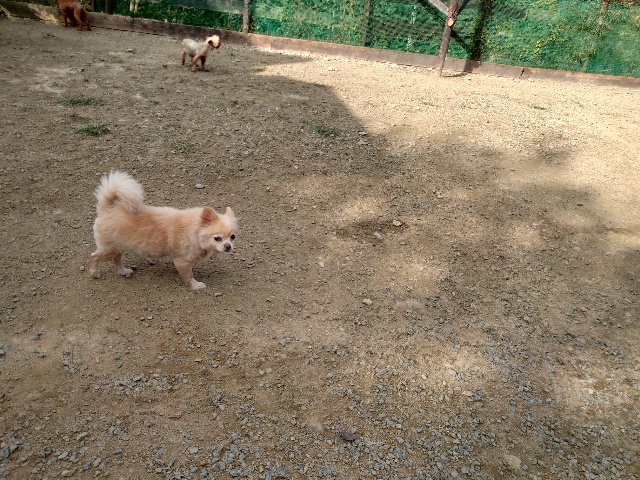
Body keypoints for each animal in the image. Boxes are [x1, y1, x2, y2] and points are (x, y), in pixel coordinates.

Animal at [90, 171, 238, 291]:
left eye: (232, 237)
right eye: (217, 238)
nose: (228, 246)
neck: (194, 232)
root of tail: (107, 208)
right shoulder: (182, 262)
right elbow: (189, 276)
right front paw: (195, 286)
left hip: (117, 246)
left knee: (117, 258)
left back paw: (123, 271)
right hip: (108, 249)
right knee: (94, 256)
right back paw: (94, 273)